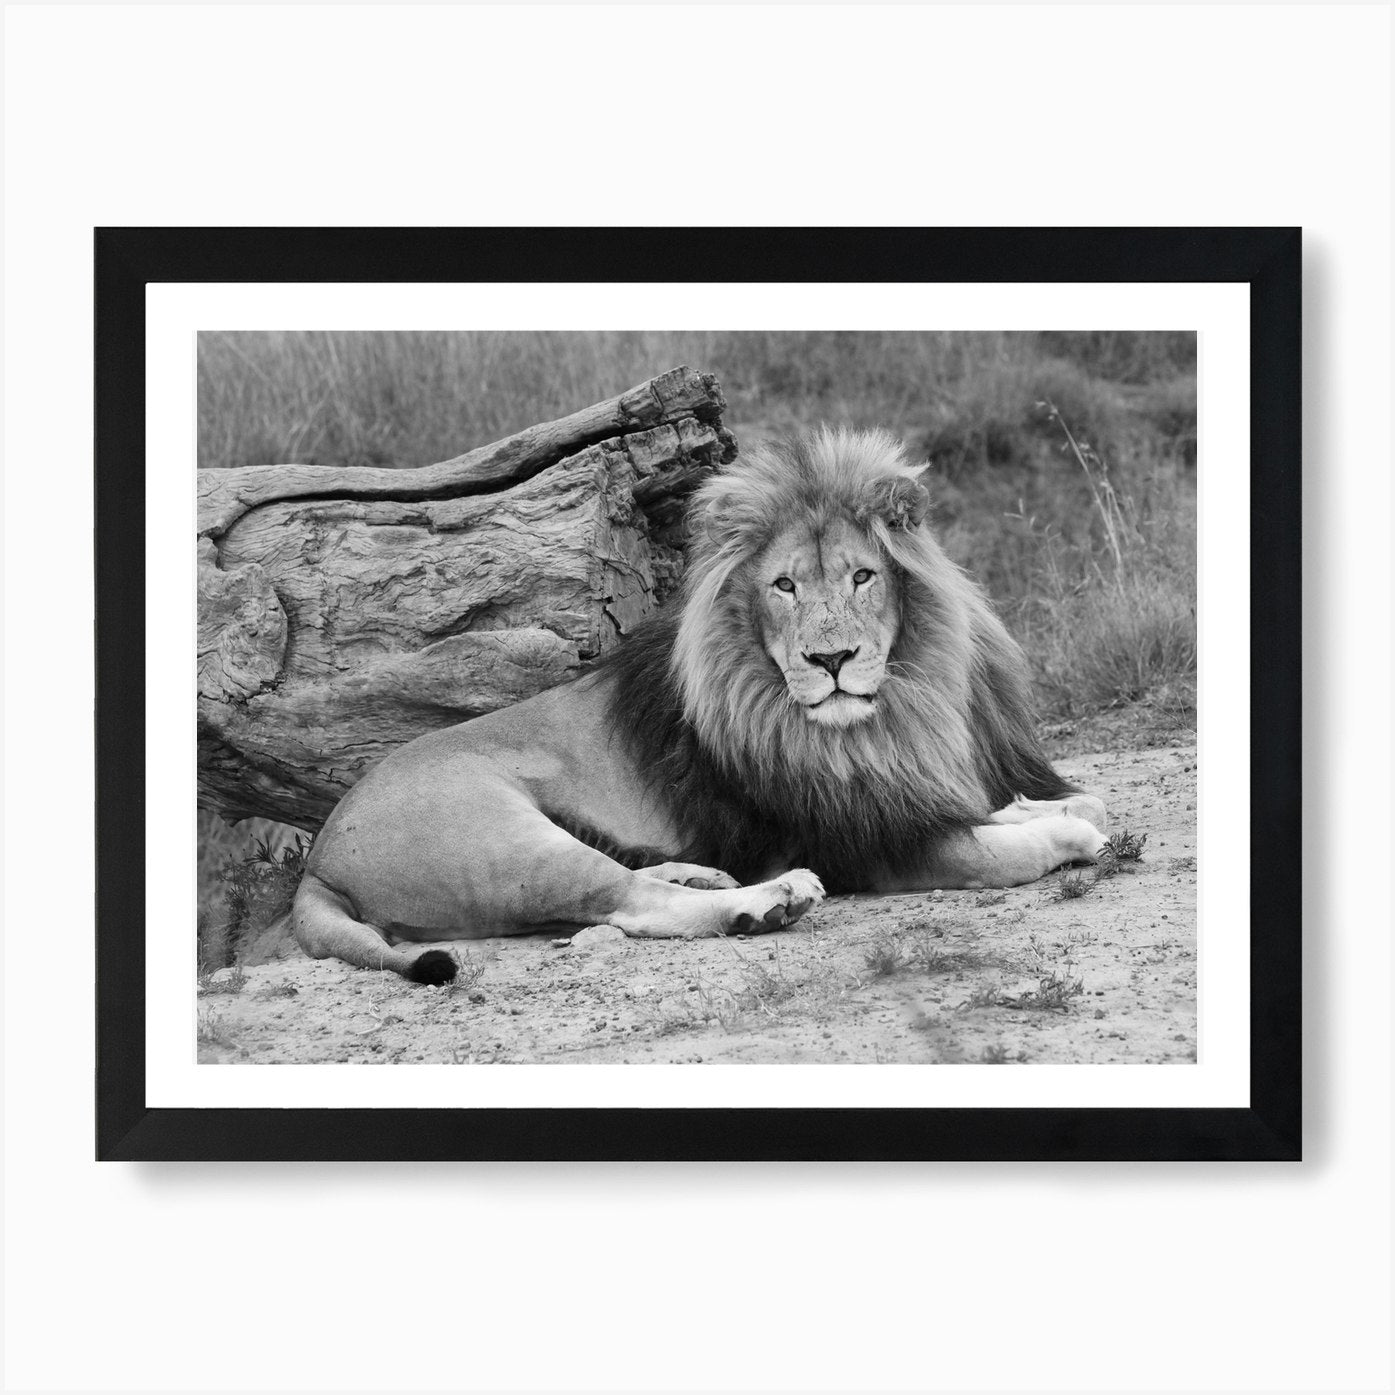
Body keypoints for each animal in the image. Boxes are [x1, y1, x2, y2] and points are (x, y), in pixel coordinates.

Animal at [292, 427, 1108, 984]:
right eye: (784, 586)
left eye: (863, 577)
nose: (832, 661)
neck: (873, 724)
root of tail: (318, 858)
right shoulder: (873, 844)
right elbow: (1003, 847)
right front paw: (1071, 834)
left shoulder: (900, 793)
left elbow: (1023, 805)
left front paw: (1055, 805)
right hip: (505, 842)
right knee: (626, 903)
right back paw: (765, 899)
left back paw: (705, 874)